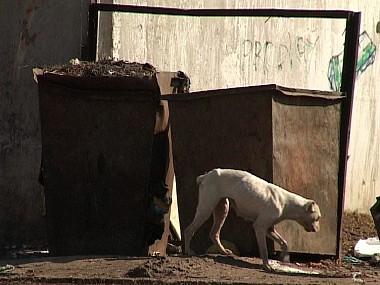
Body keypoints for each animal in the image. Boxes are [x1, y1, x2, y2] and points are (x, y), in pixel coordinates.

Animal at [184, 168, 320, 270]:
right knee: (188, 230)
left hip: (222, 210)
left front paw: (285, 259)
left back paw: (224, 252)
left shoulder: (269, 229)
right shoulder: (259, 227)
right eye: (317, 218)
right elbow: (264, 250)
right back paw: (188, 251)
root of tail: (205, 176)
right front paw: (267, 266)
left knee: (214, 234)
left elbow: (284, 243)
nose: (317, 230)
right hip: (205, 209)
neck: (286, 202)